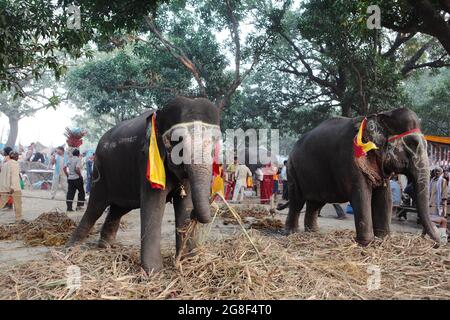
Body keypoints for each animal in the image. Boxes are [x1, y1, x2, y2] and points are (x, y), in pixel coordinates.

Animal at [67, 97, 221, 272]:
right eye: (177, 141)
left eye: (215, 141)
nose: (195, 214)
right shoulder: (147, 159)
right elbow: (153, 204)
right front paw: (153, 271)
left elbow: (184, 203)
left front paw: (188, 262)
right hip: (100, 172)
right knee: (96, 207)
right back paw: (71, 248)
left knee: (118, 209)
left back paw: (106, 246)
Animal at [278, 107, 440, 245]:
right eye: (413, 144)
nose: (437, 243)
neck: (380, 115)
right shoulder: (350, 161)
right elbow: (362, 195)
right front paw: (366, 243)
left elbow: (385, 198)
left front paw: (383, 240)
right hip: (293, 170)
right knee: (297, 201)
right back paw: (290, 233)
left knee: (315, 202)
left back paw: (313, 232)